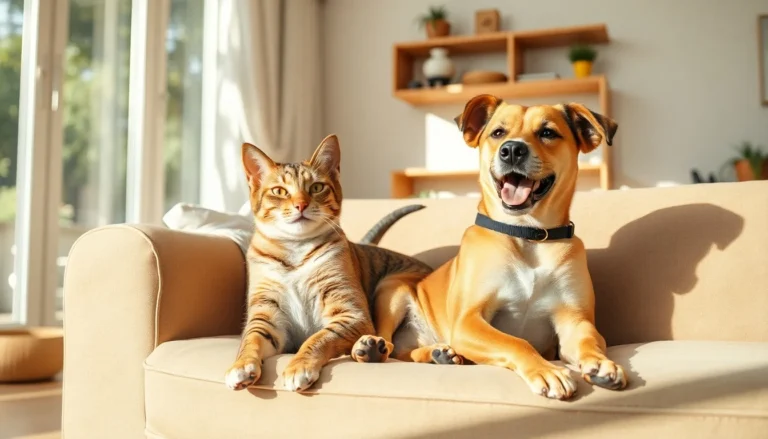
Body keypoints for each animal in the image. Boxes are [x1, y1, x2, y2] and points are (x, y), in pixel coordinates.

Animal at [225, 133, 436, 392]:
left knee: (388, 342)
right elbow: (250, 340)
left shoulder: (351, 313)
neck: (294, 252)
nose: (301, 205)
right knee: (403, 350)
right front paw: (241, 366)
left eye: (316, 187)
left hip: (390, 289)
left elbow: (319, 338)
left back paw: (371, 349)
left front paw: (299, 366)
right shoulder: (265, 315)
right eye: (279, 191)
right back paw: (439, 354)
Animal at [366, 96, 632, 402]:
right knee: (387, 345)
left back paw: (439, 354)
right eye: (497, 133)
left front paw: (601, 363)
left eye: (548, 132)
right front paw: (547, 371)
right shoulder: (468, 320)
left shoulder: (575, 320)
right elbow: (516, 342)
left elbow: (590, 341)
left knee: (403, 352)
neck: (528, 235)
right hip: (393, 291)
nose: (512, 150)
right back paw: (371, 348)